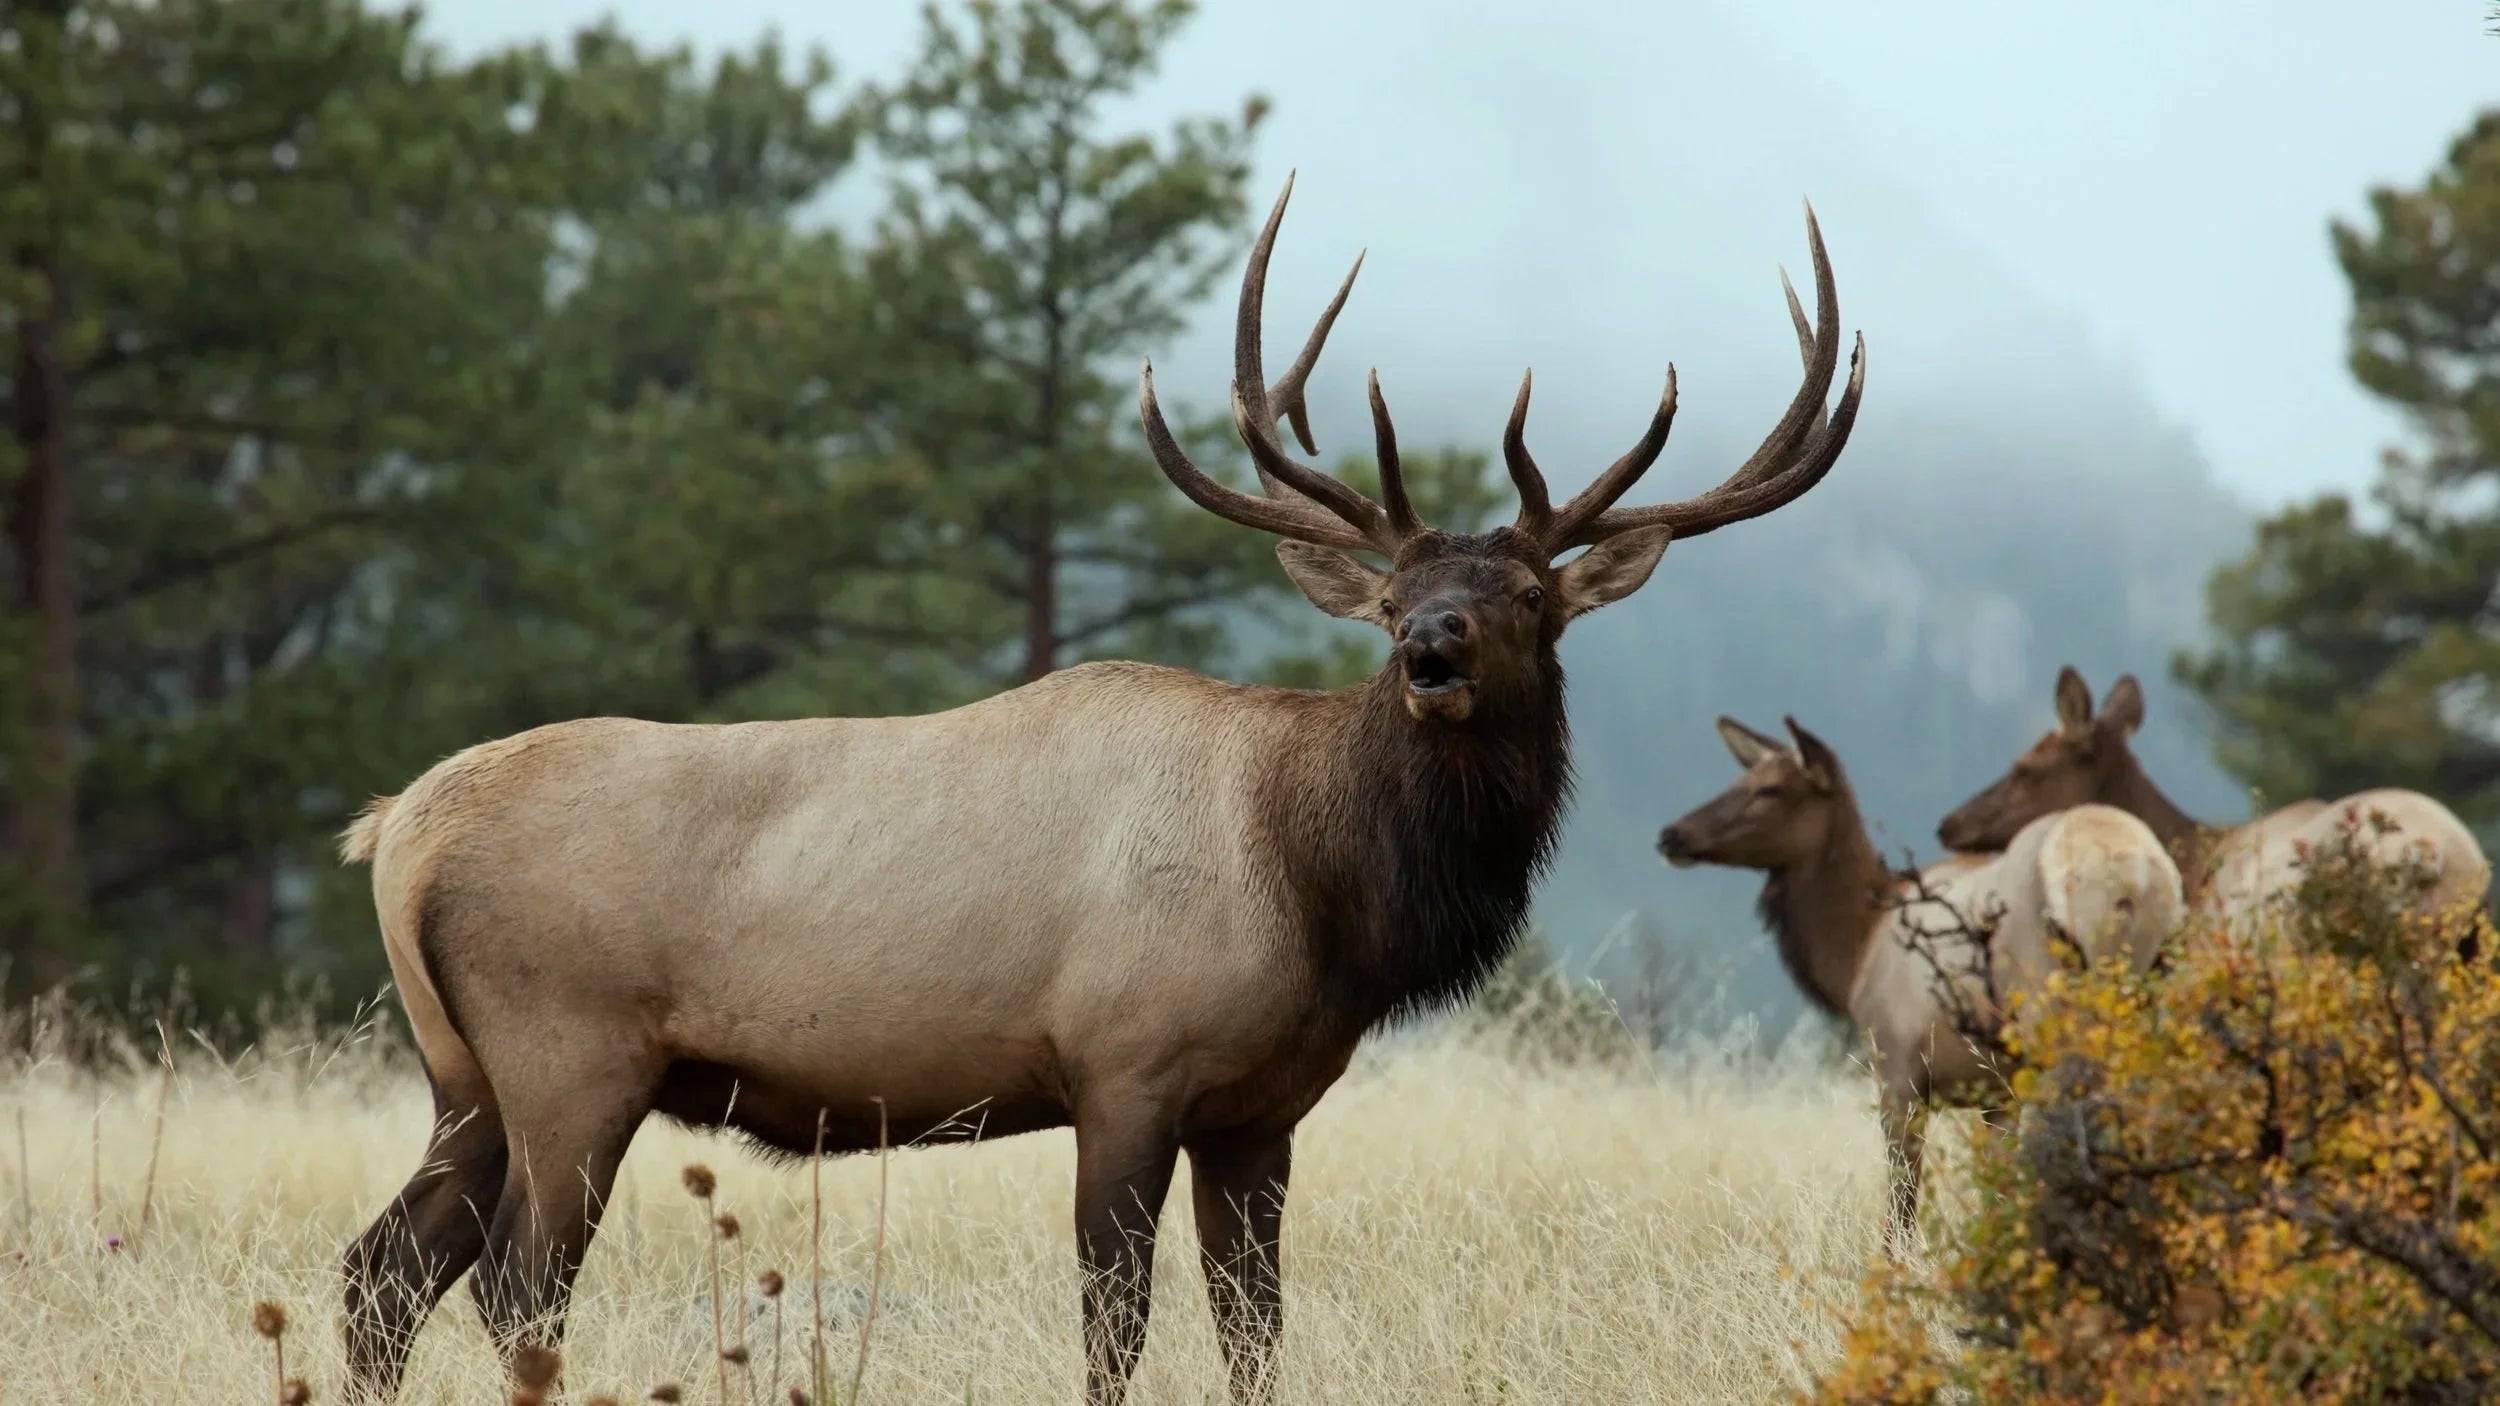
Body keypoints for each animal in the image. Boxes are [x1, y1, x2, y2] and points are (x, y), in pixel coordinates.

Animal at [333, 174, 1867, 1406]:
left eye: (1531, 596)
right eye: (1393, 598)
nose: (1431, 652)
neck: (1323, 891)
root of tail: (394, 830)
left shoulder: (1262, 1110)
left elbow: (1256, 1329)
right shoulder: (1126, 1062)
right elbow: (1115, 1324)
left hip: (465, 1074)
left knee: (379, 1272)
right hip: (570, 1051)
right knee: (512, 1284)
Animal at [1658, 715, 2182, 1251]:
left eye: (1770, 789)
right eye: (1739, 780)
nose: (1672, 834)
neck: (1855, 956)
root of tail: (2130, 879)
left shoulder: (1897, 1064)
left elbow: (1902, 1200)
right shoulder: (1996, 1090)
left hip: (2049, 1007)